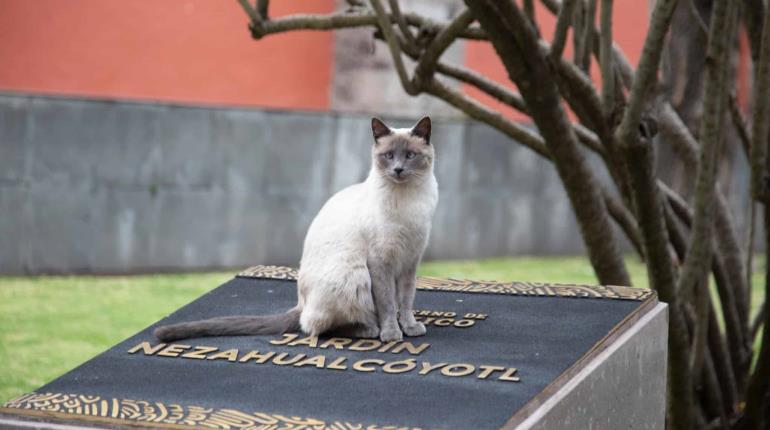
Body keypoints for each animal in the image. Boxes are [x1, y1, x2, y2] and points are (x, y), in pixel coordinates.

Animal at [153, 115, 436, 342]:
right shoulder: (381, 262)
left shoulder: (410, 260)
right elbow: (388, 303)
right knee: (314, 326)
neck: (408, 199)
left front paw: (410, 327)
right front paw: (392, 334)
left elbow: (406, 300)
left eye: (410, 155)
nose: (398, 169)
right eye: (388, 156)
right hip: (354, 275)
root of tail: (301, 303)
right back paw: (370, 330)